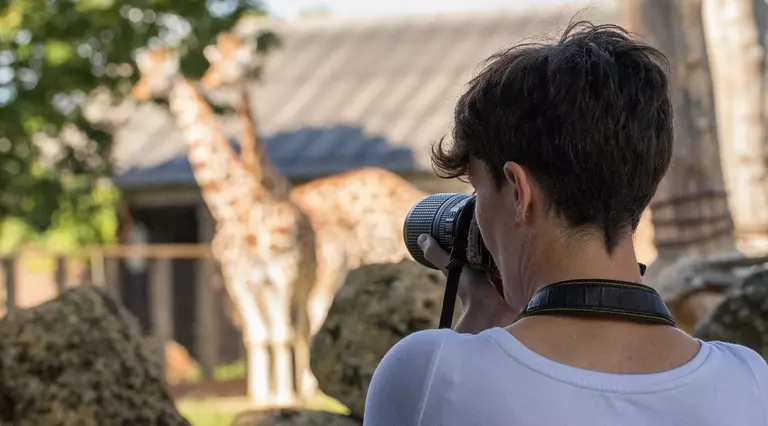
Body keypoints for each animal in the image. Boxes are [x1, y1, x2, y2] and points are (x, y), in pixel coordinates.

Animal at [130, 45, 316, 406]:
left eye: (160, 73)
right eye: (144, 71)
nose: (138, 91)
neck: (235, 205)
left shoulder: (279, 272)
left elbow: (278, 334)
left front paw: (281, 399)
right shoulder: (239, 279)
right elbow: (259, 336)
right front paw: (262, 398)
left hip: (305, 277)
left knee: (300, 327)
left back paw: (303, 391)